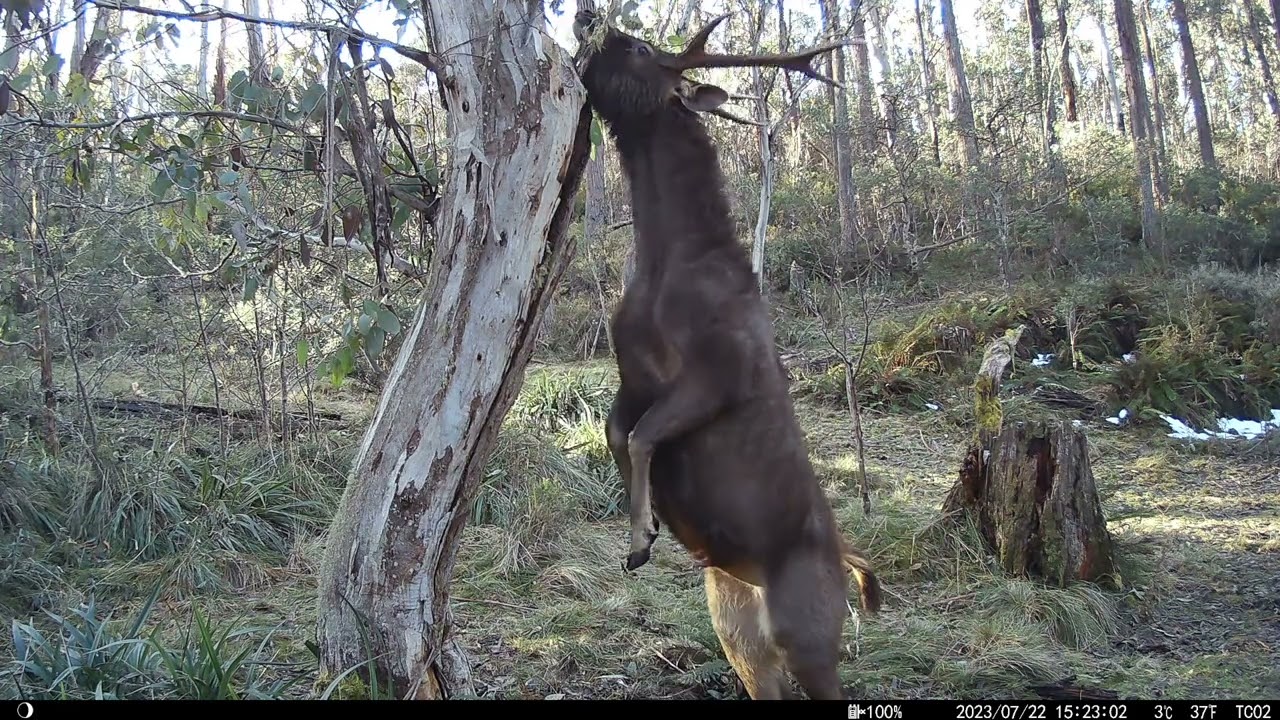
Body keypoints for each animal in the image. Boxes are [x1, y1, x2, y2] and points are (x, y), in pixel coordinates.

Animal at [571, 8, 883, 701]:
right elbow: (616, 433)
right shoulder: (632, 374)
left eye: (639, 47)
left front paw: (640, 537)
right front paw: (644, 527)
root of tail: (850, 560)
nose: (588, 19)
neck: (665, 265)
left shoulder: (719, 373)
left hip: (808, 629)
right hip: (736, 625)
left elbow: (642, 435)